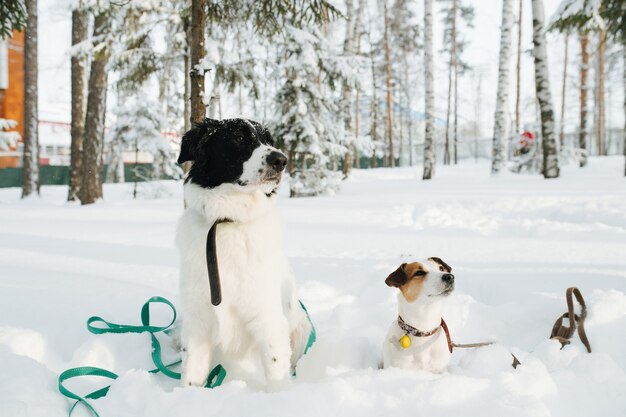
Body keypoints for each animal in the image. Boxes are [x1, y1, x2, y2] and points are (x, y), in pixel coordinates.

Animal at [174, 118, 310, 388]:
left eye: (268, 140)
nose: (280, 160)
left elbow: (276, 373)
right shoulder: (197, 321)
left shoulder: (268, 319)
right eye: (238, 137)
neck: (228, 220)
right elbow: (191, 374)